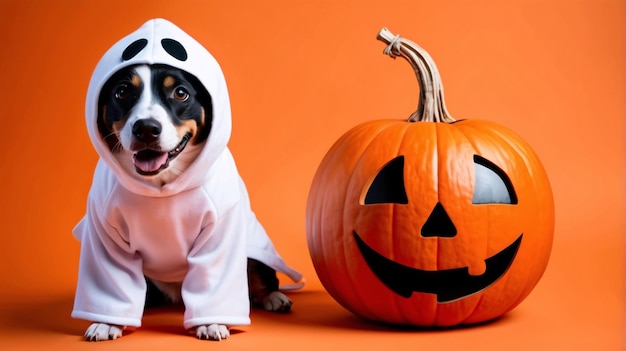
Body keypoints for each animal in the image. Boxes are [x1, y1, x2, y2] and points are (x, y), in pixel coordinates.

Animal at [73, 17, 302, 342]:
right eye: (122, 92)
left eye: (180, 93)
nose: (146, 128)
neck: (161, 187)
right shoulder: (104, 235)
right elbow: (112, 283)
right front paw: (107, 322)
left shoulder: (221, 232)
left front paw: (212, 321)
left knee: (258, 274)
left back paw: (273, 297)